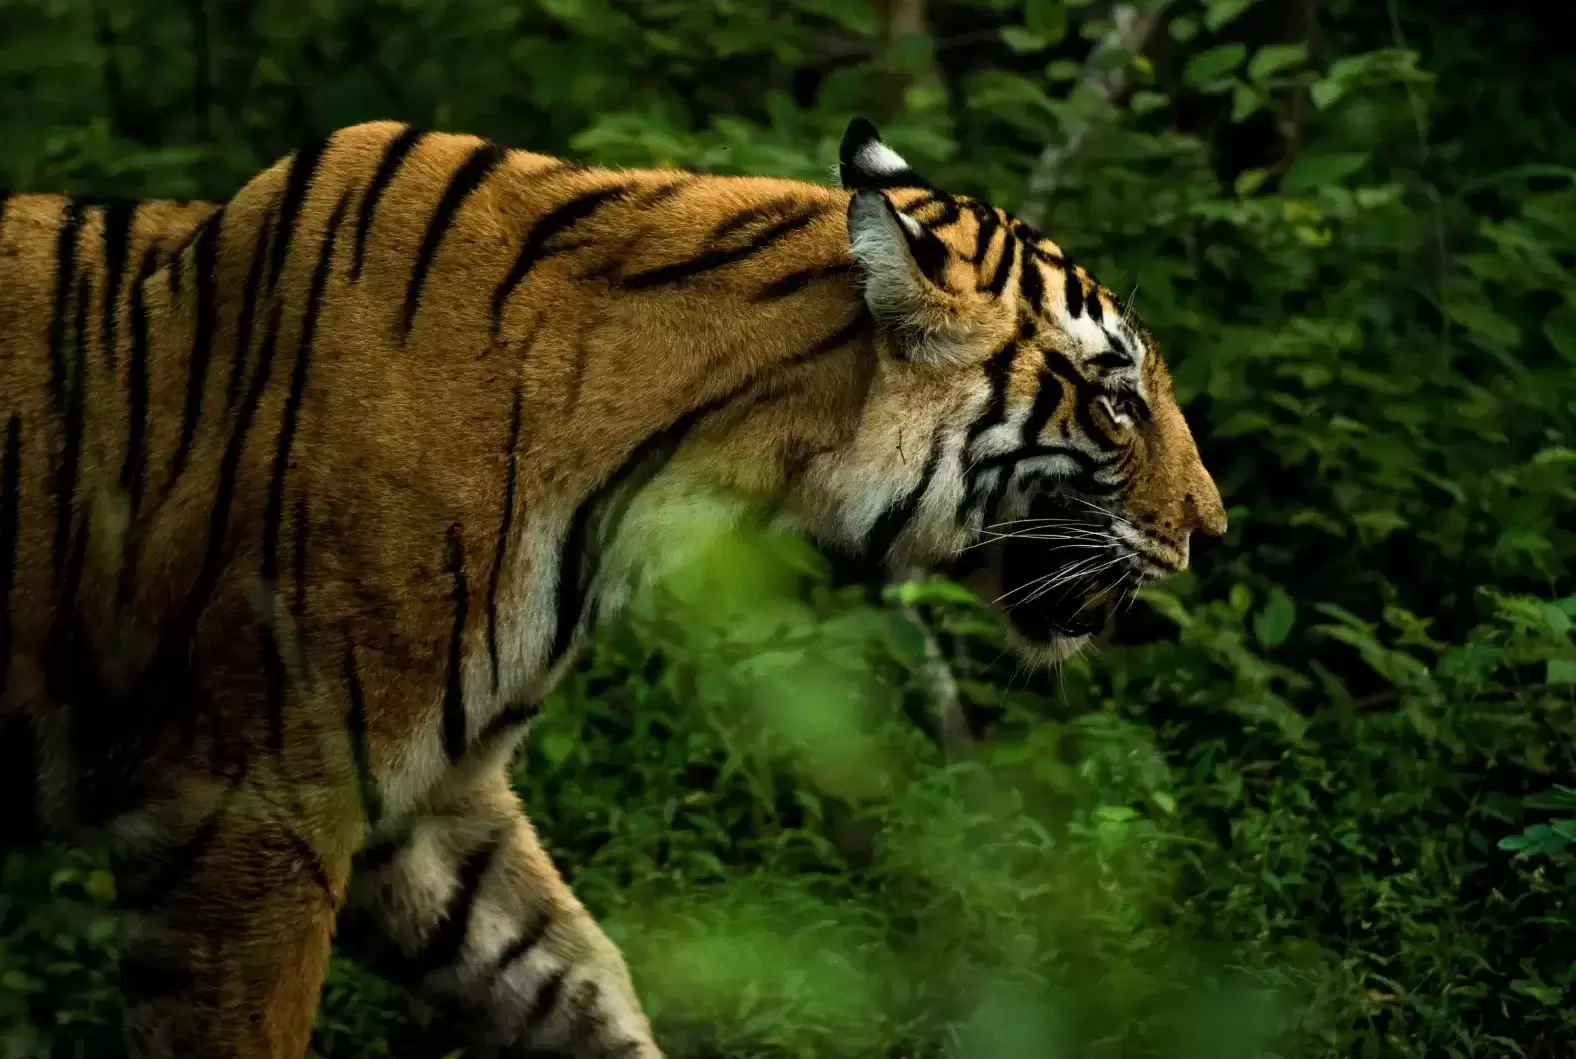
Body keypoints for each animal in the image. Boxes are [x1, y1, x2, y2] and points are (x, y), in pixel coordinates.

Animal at [0, 116, 1226, 1058]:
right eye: (1117, 399)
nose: (1213, 533)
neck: (663, 470)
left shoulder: (429, 808)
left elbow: (574, 981)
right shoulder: (249, 804)